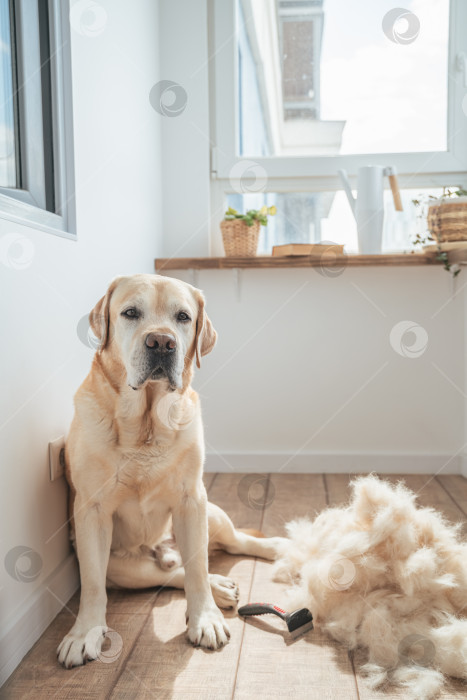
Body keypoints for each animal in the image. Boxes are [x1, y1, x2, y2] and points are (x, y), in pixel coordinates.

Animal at [58, 274, 286, 668]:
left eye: (183, 317)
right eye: (130, 313)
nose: (162, 342)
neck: (145, 426)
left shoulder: (192, 499)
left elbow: (197, 569)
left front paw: (205, 620)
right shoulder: (91, 512)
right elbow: (92, 585)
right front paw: (84, 633)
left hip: (212, 513)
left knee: (229, 545)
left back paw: (271, 548)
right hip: (124, 568)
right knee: (170, 574)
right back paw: (221, 587)